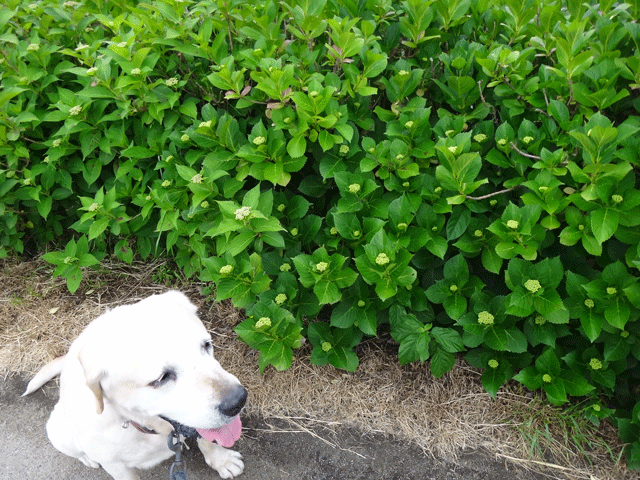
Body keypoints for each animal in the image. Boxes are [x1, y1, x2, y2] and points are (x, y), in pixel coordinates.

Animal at [23, 290, 248, 478]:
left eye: (206, 345)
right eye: (162, 378)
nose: (238, 401)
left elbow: (206, 437)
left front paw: (222, 460)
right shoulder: (116, 466)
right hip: (58, 431)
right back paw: (87, 458)